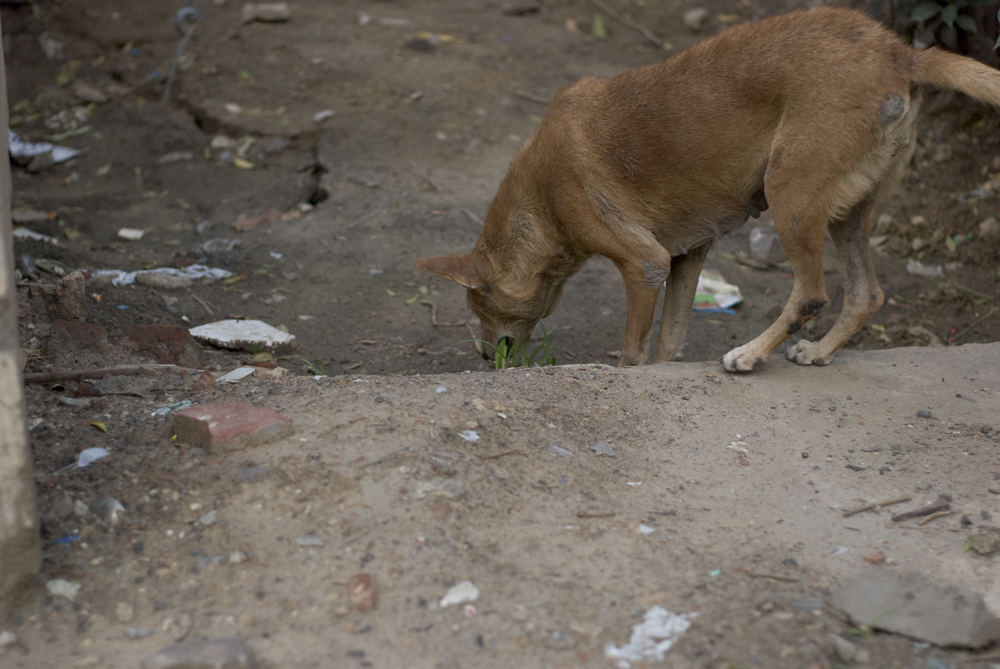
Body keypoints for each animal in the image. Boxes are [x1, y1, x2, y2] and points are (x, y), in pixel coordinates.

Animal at [412, 6, 1000, 370]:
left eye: (479, 307)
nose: (485, 356)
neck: (541, 201)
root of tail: (898, 51)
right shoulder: (687, 256)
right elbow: (668, 344)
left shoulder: (644, 264)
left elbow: (632, 354)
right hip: (846, 214)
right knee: (865, 293)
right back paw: (817, 353)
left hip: (790, 194)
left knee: (812, 293)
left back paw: (751, 355)